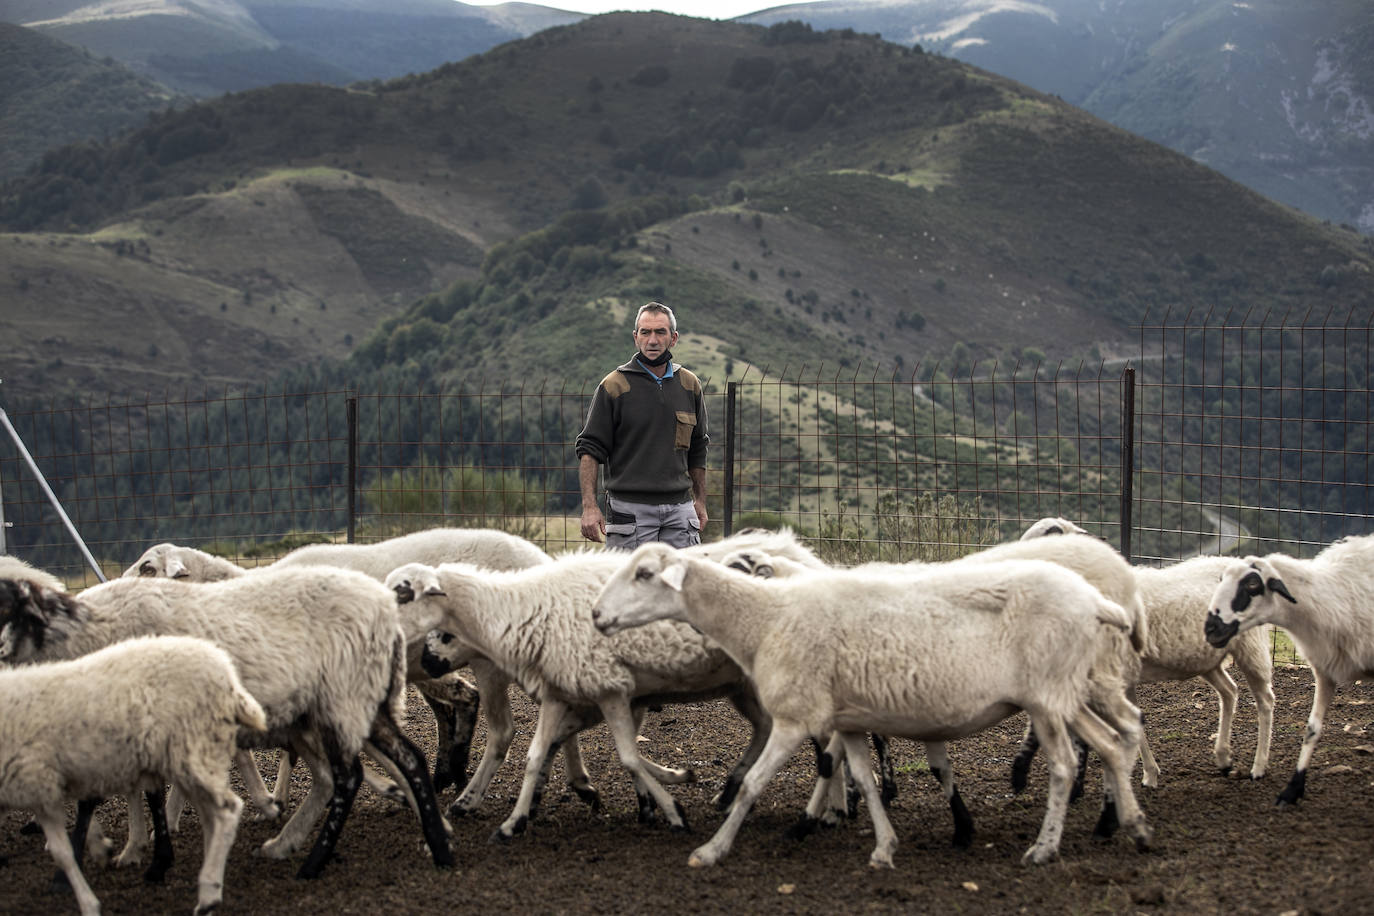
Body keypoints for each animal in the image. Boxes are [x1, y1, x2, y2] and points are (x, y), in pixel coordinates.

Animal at [0, 563, 450, 878]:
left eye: (6, 608)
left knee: (349, 777)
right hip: (354, 701)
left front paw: (146, 858)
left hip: (343, 696)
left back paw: (314, 862)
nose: (1, 650)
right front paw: (134, 849)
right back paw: (437, 846)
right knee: (406, 759)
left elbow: (129, 794)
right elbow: (135, 789)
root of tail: (386, 613)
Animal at [0, 634, 262, 916]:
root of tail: (228, 675)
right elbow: (63, 850)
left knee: (227, 810)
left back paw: (208, 891)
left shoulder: (39, 781)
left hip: (192, 751)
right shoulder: (44, 788)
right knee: (212, 817)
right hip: (189, 759)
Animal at [387, 549, 774, 840]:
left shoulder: (608, 688)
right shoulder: (569, 692)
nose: (426, 663)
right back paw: (731, 790)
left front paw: (668, 807)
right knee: (764, 728)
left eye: (403, 595)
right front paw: (517, 819)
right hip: (745, 687)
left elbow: (628, 755)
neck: (521, 608)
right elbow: (539, 753)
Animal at [590, 543, 1148, 867]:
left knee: (1066, 764)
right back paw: (1134, 827)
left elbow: (752, 784)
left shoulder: (796, 716)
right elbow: (863, 779)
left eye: (644, 574)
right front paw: (883, 848)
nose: (595, 615)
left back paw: (1046, 847)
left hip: (1050, 698)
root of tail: (1096, 601)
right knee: (1112, 744)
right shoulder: (850, 720)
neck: (765, 617)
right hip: (1064, 693)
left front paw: (711, 850)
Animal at [1203, 532, 1374, 807]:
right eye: (1221, 579)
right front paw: (1292, 789)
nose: (1210, 629)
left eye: (1253, 584)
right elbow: (1312, 730)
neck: (1335, 595)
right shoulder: (1325, 670)